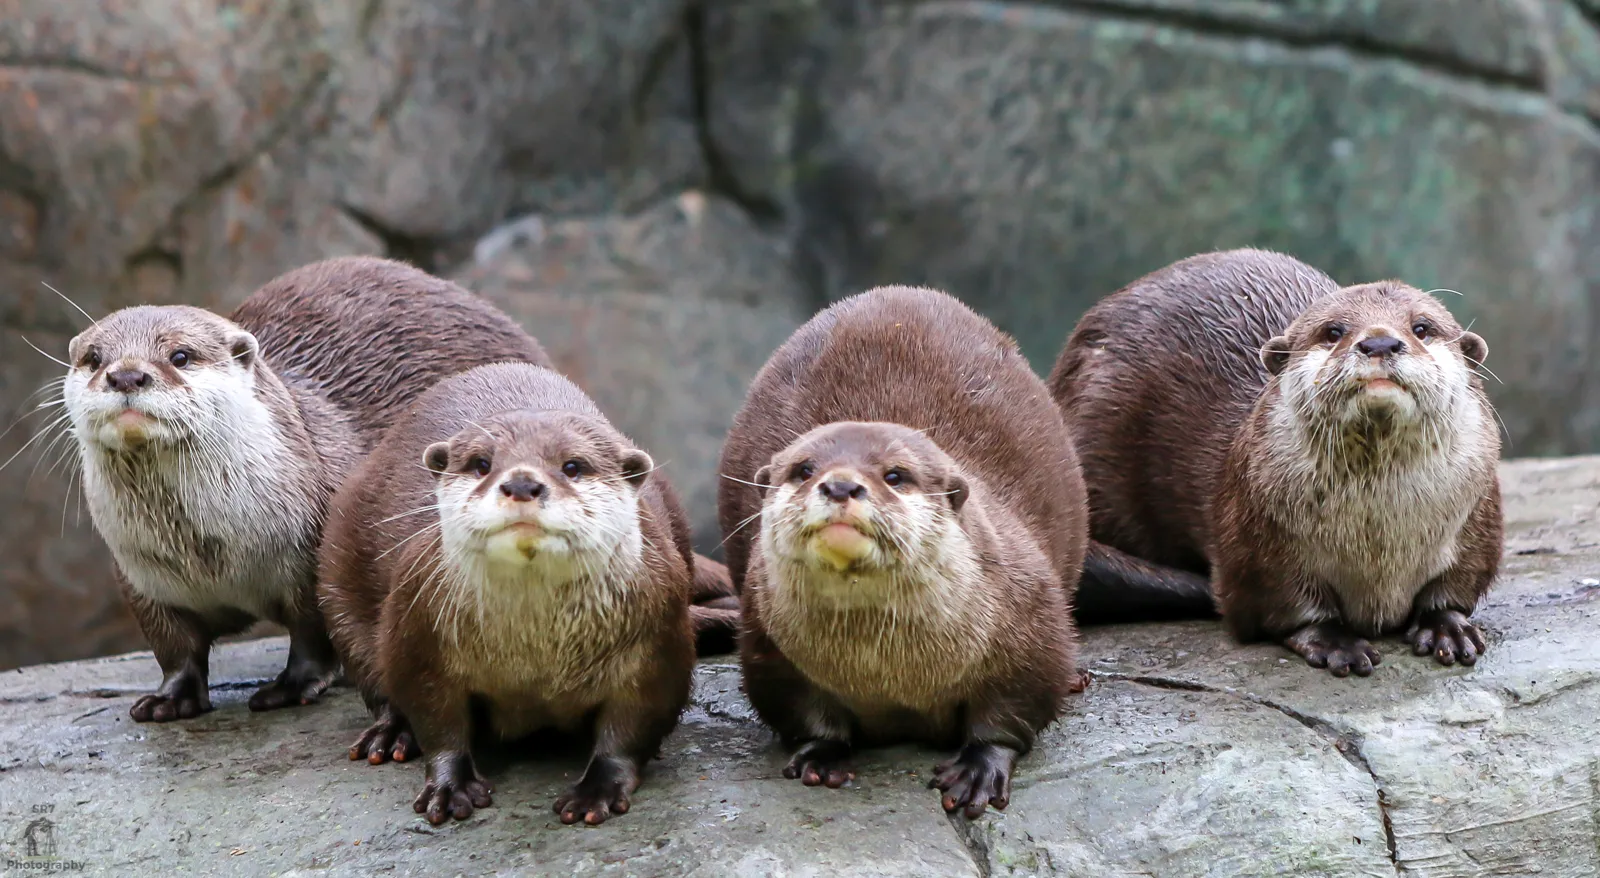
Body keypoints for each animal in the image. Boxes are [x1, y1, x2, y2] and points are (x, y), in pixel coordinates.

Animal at [60, 256, 552, 723]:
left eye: (180, 356)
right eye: (94, 358)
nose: (125, 376)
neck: (211, 555)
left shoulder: (320, 551)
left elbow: (315, 632)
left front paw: (292, 688)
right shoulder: (140, 577)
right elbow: (173, 647)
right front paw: (170, 699)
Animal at [319, 362, 695, 826]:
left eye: (573, 466)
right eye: (481, 464)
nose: (521, 483)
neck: (535, 655)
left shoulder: (658, 642)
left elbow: (632, 725)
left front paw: (597, 789)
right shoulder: (418, 631)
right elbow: (435, 716)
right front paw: (449, 784)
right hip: (338, 570)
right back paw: (390, 735)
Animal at [717, 285, 1088, 820]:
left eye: (894, 474)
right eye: (804, 469)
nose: (841, 484)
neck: (889, 671)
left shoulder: (1030, 612)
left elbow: (1014, 708)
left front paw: (979, 767)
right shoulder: (768, 641)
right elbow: (801, 712)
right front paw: (822, 753)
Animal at [1050, 249, 1502, 676]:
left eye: (1422, 327)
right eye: (1334, 331)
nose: (1379, 343)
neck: (1378, 541)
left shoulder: (1476, 524)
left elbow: (1456, 586)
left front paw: (1447, 626)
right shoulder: (1260, 544)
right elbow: (1288, 607)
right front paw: (1334, 642)